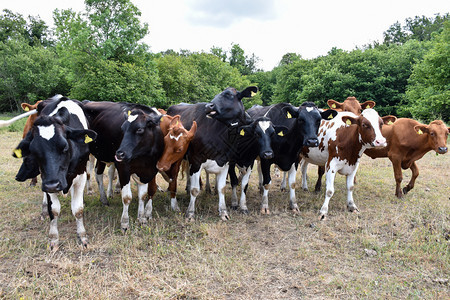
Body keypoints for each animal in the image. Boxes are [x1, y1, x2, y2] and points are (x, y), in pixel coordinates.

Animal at [13, 96, 96, 251]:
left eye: (65, 147)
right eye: (34, 151)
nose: (53, 185)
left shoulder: (80, 175)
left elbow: (78, 209)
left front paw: (82, 237)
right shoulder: (47, 179)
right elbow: (54, 210)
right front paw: (53, 238)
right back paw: (44, 210)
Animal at [166, 86, 258, 220]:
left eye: (229, 94)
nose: (208, 106)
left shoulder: (225, 162)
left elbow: (222, 188)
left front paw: (223, 212)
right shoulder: (196, 160)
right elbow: (195, 189)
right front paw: (190, 213)